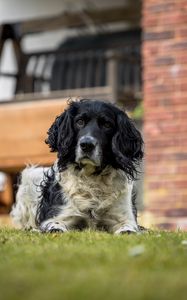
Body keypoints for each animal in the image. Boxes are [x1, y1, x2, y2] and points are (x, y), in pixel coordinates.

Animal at [10, 99, 144, 233]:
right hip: (29, 177)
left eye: (107, 125)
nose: (87, 144)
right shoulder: (59, 216)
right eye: (79, 122)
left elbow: (127, 229)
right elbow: (55, 227)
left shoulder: (124, 218)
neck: (92, 177)